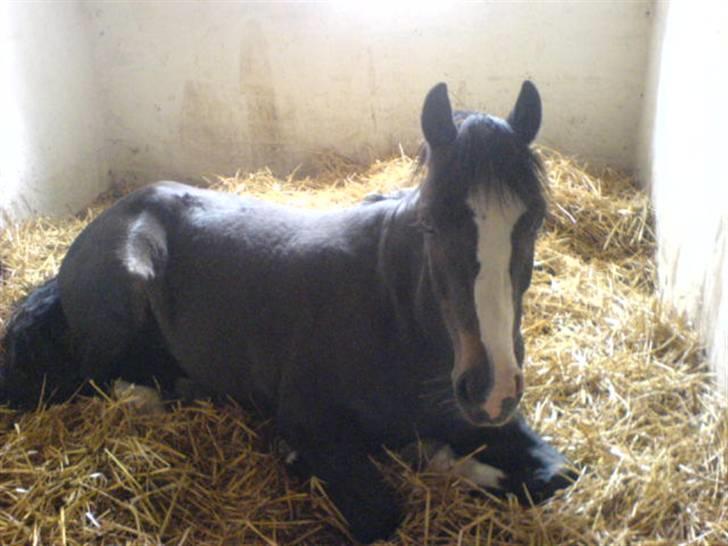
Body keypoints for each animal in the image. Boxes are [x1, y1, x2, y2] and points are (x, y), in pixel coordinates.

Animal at [0, 81, 575, 543]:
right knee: (103, 376)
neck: (394, 319)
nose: (492, 388)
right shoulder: (309, 420)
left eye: (534, 221)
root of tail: (106, 220)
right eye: (431, 223)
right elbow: (381, 512)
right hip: (127, 286)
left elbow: (555, 473)